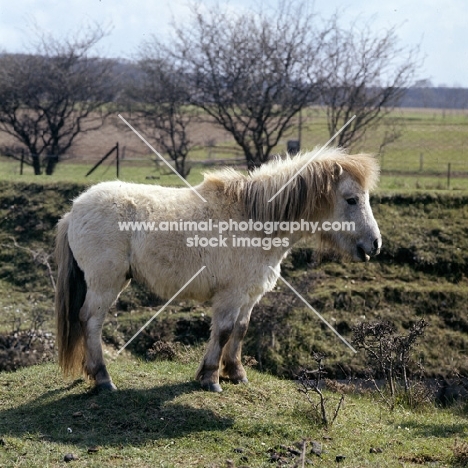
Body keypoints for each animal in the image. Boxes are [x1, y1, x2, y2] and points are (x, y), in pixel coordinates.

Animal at [56, 149, 382, 392]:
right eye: (351, 199)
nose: (375, 244)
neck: (254, 220)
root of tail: (74, 210)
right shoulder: (230, 295)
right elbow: (224, 331)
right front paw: (211, 377)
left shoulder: (249, 295)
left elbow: (240, 330)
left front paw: (236, 373)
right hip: (105, 283)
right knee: (91, 321)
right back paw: (102, 378)